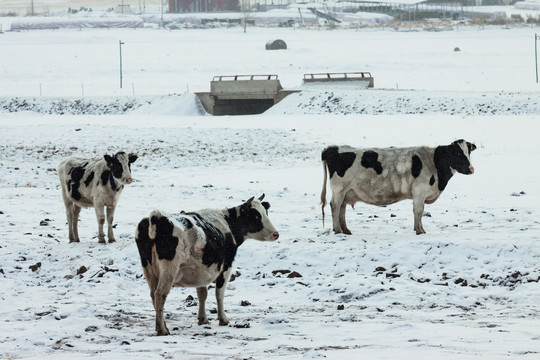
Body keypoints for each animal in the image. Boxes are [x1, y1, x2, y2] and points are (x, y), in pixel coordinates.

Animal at [135, 195, 280, 336]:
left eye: (266, 212)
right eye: (256, 216)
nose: (276, 234)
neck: (228, 224)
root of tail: (158, 217)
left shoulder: (200, 270)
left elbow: (202, 294)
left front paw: (203, 319)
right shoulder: (226, 267)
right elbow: (219, 294)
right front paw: (223, 319)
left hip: (149, 269)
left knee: (153, 295)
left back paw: (162, 325)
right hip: (169, 268)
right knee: (160, 294)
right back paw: (162, 329)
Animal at [320, 139, 476, 235]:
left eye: (468, 152)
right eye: (457, 153)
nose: (471, 169)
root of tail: (331, 148)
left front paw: (419, 228)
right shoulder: (419, 192)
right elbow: (418, 211)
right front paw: (420, 230)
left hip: (346, 192)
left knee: (342, 208)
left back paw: (345, 230)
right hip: (339, 189)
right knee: (335, 206)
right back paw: (337, 229)